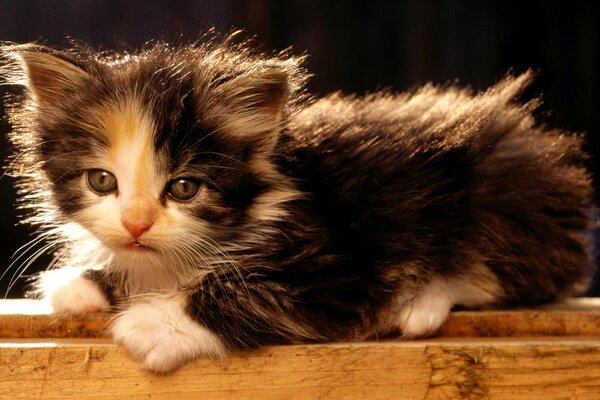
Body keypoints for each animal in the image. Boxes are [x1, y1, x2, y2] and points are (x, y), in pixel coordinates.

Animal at [0, 35, 592, 372]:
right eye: (102, 181)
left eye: (185, 188)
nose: (137, 223)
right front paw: (87, 285)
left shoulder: (343, 260)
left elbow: (258, 291)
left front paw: (155, 324)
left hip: (505, 193)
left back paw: (421, 304)